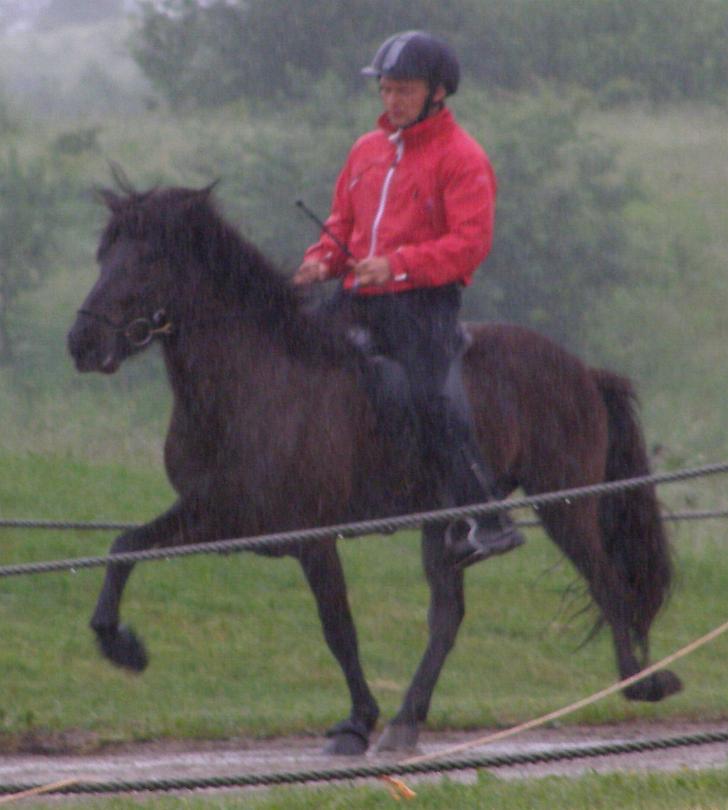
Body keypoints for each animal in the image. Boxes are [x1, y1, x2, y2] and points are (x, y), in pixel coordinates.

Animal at [67, 181, 684, 752]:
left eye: (147, 260)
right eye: (103, 254)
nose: (81, 343)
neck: (255, 379)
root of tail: (582, 370)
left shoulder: (309, 535)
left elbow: (338, 627)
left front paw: (355, 723)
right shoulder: (218, 515)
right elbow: (125, 547)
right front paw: (122, 646)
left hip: (565, 502)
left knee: (606, 582)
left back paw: (641, 684)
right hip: (445, 522)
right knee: (448, 616)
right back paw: (407, 721)